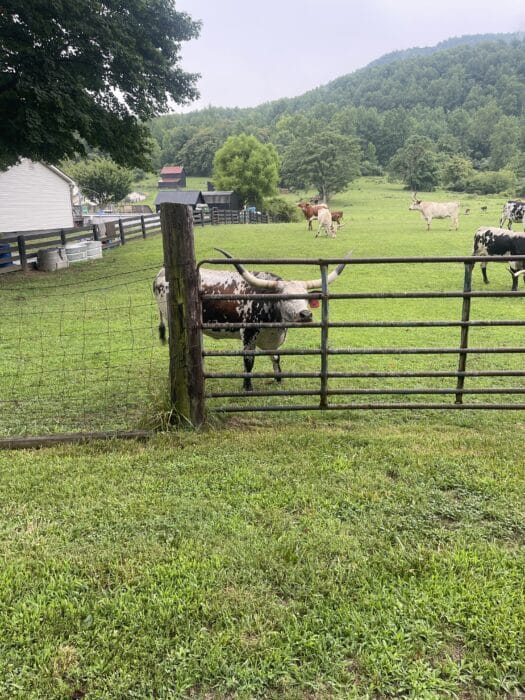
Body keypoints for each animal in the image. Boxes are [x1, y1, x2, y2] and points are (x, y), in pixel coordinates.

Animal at [154, 249, 350, 392]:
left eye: (306, 298)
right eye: (285, 297)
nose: (306, 315)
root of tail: (161, 274)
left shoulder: (273, 338)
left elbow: (276, 357)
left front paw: (279, 378)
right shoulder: (248, 334)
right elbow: (249, 360)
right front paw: (247, 386)